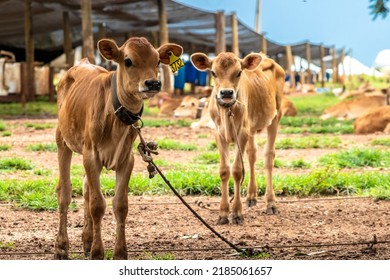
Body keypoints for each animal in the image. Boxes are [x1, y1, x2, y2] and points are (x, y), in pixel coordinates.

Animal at [54, 37, 183, 260]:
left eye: (158, 61)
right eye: (128, 61)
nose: (153, 83)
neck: (116, 116)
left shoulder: (126, 160)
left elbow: (120, 205)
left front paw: (119, 252)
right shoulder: (91, 156)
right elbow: (97, 205)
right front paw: (98, 252)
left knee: (86, 189)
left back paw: (87, 239)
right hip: (62, 140)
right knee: (65, 192)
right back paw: (62, 247)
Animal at [191, 51, 284, 224]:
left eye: (239, 72)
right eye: (213, 72)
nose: (226, 93)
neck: (227, 111)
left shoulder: (242, 133)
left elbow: (237, 170)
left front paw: (236, 212)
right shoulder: (219, 134)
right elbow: (224, 170)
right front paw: (223, 212)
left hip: (275, 116)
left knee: (268, 157)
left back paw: (270, 202)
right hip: (252, 128)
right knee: (252, 154)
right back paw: (251, 196)